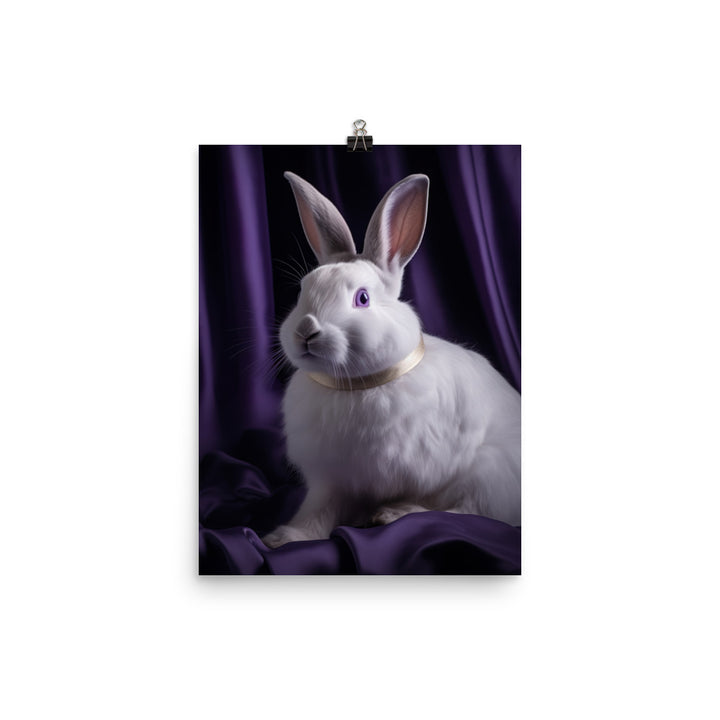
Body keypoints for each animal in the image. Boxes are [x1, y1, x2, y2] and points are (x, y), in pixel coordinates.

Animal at [262, 171, 520, 548]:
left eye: (362, 298)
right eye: (302, 290)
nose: (306, 332)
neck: (355, 384)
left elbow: (439, 504)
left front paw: (392, 512)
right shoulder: (332, 479)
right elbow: (318, 511)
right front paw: (284, 538)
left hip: (490, 472)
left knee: (467, 512)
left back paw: (394, 514)